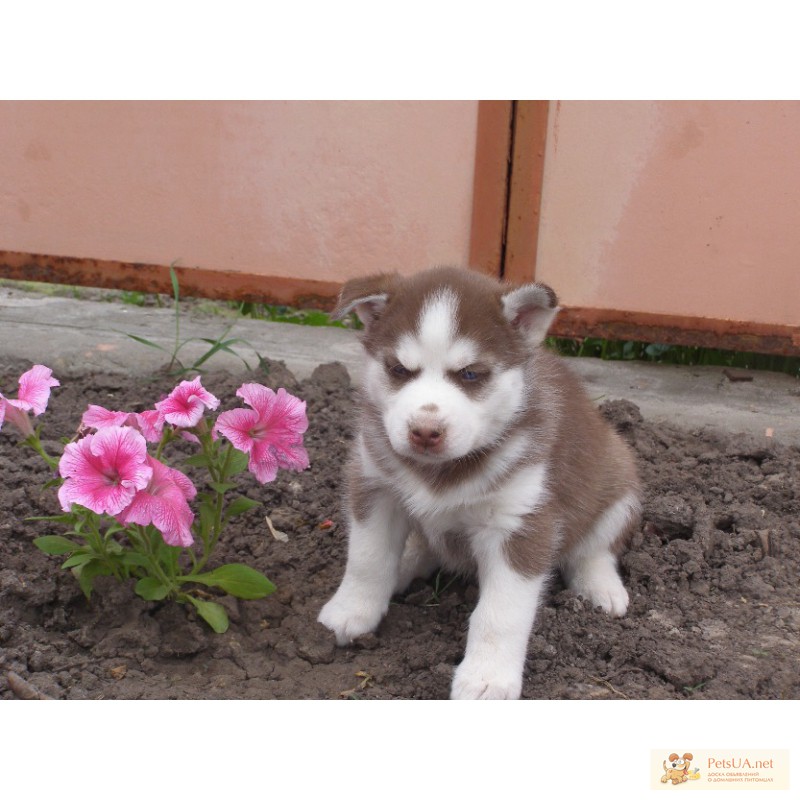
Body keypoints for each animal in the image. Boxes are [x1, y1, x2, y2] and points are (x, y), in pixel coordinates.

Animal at [318, 266, 636, 696]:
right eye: (399, 370)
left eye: (470, 374)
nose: (425, 431)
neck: (443, 470)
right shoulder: (374, 487)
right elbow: (367, 559)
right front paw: (350, 611)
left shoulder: (520, 523)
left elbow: (501, 613)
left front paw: (488, 678)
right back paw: (408, 562)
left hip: (619, 478)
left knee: (596, 548)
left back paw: (601, 587)